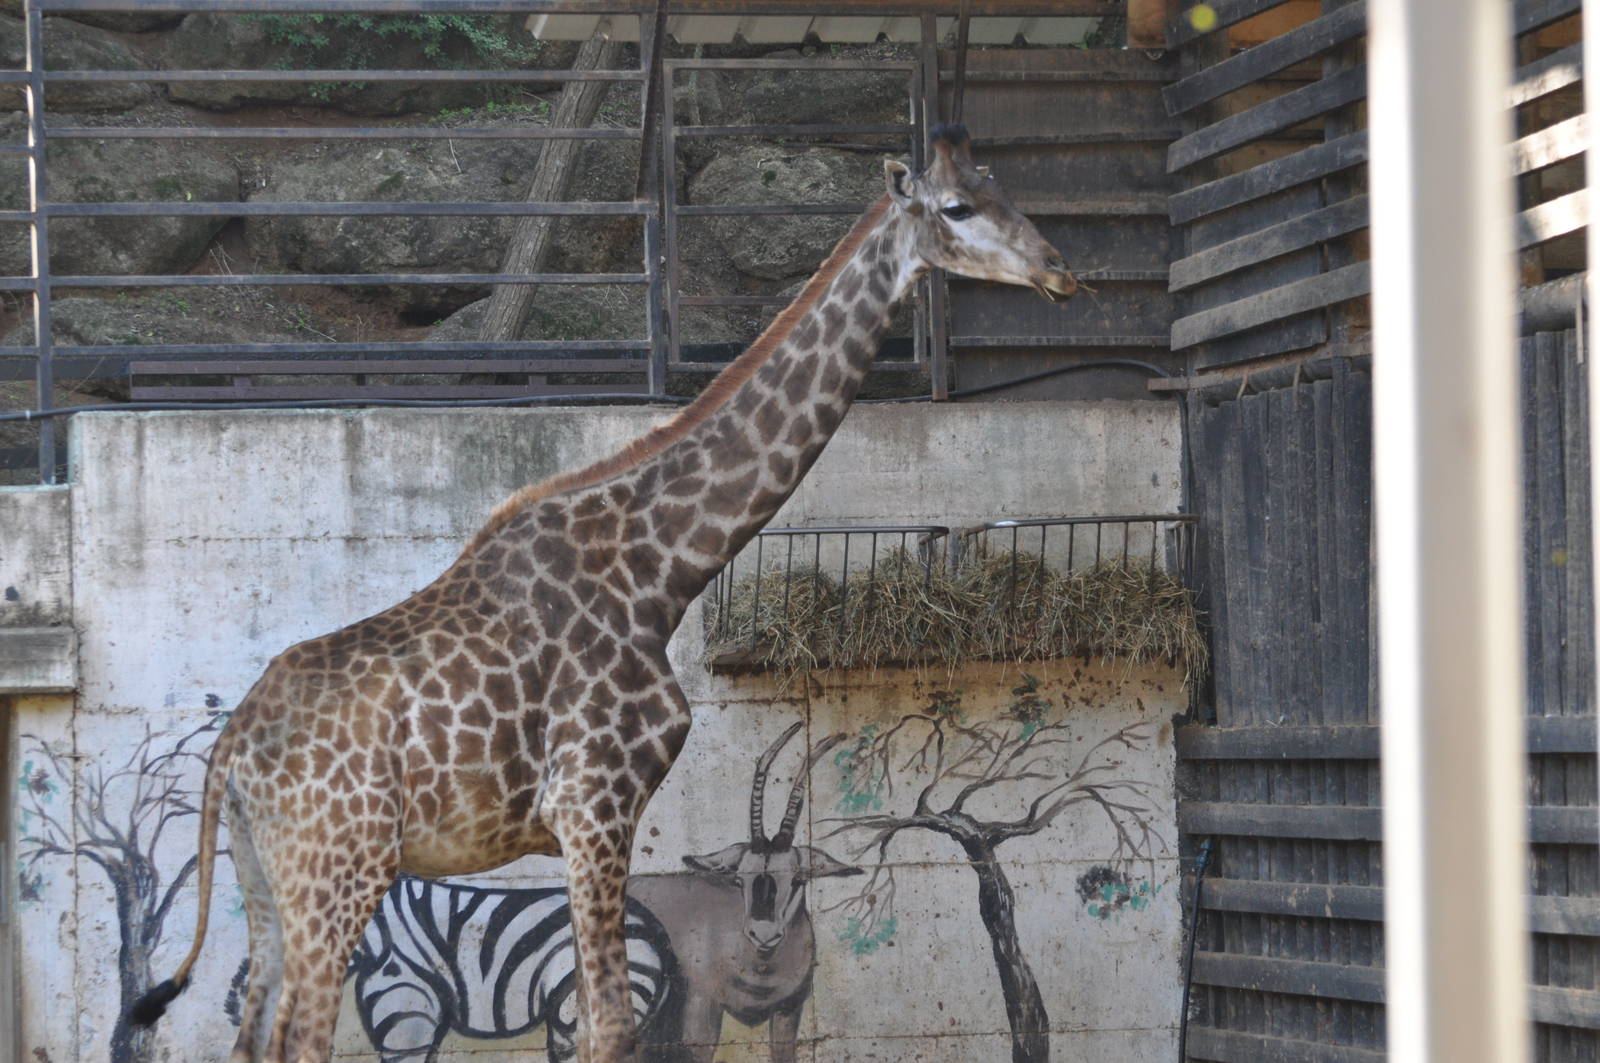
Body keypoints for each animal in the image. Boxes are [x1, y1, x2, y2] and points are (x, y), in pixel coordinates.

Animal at [128, 124, 1076, 1063]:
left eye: (1003, 188)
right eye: (957, 207)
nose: (1060, 269)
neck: (659, 570)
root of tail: (232, 750)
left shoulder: (585, 819)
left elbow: (593, 1016)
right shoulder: (595, 801)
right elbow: (613, 1023)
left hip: (268, 878)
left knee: (253, 1026)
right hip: (341, 869)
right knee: (303, 1033)